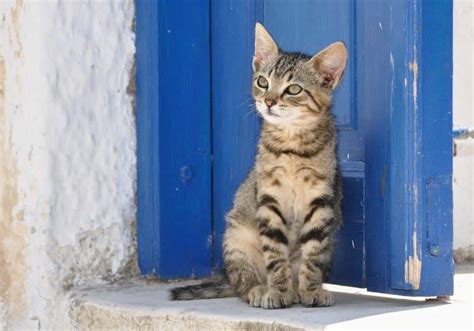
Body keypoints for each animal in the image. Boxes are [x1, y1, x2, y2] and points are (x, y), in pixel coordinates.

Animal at [172, 24, 346, 312]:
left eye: (294, 89)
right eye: (263, 82)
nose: (269, 101)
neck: (291, 147)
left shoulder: (321, 202)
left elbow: (312, 254)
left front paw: (311, 289)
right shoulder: (268, 199)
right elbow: (275, 254)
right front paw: (277, 291)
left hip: (331, 242)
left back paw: (300, 290)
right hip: (236, 238)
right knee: (242, 281)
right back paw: (260, 289)